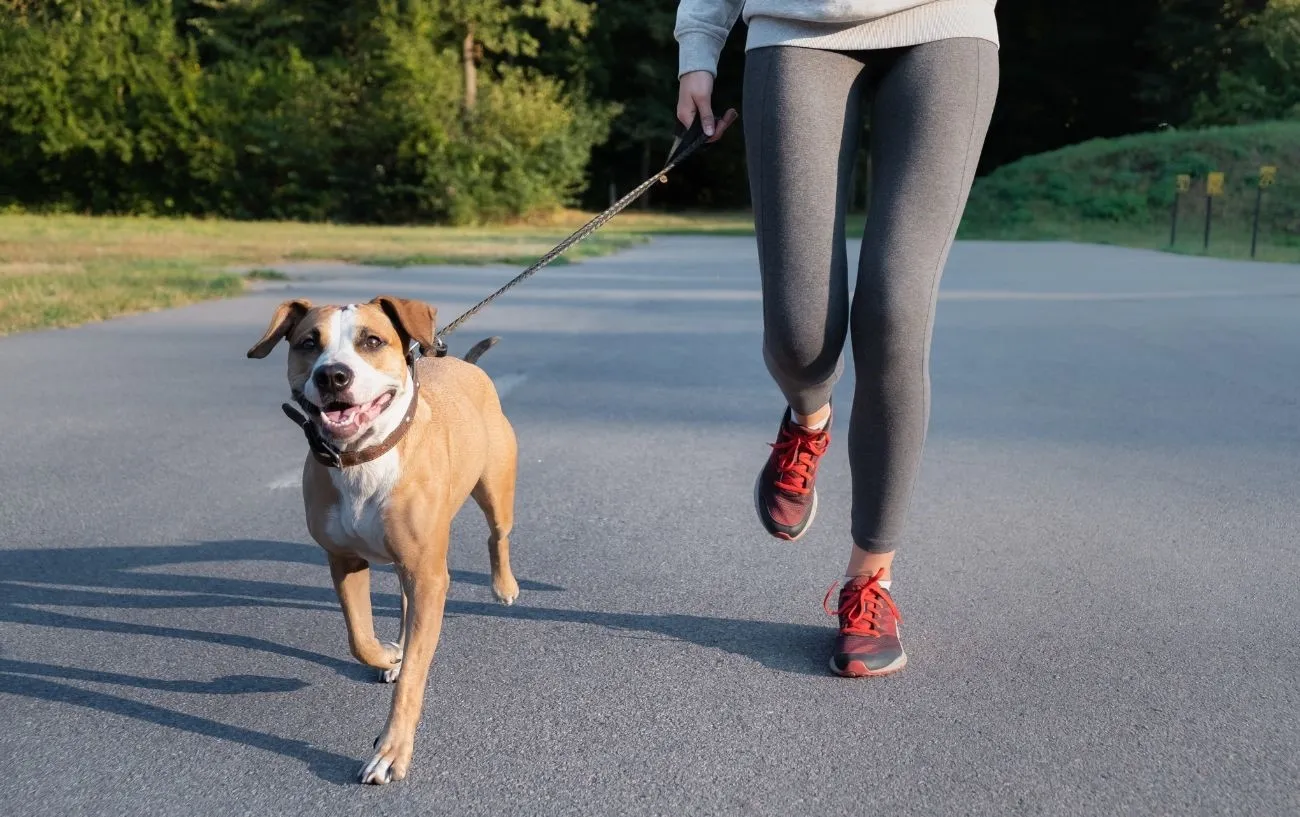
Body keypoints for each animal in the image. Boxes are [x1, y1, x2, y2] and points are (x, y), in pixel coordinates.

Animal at [248, 295, 517, 785]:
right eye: (308, 343)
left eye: (372, 341)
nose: (333, 375)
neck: (362, 458)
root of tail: (465, 366)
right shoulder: (344, 561)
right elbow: (360, 638)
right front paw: (389, 657)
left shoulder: (429, 574)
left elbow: (414, 675)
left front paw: (392, 751)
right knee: (406, 605)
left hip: (495, 490)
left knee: (498, 536)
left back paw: (504, 586)